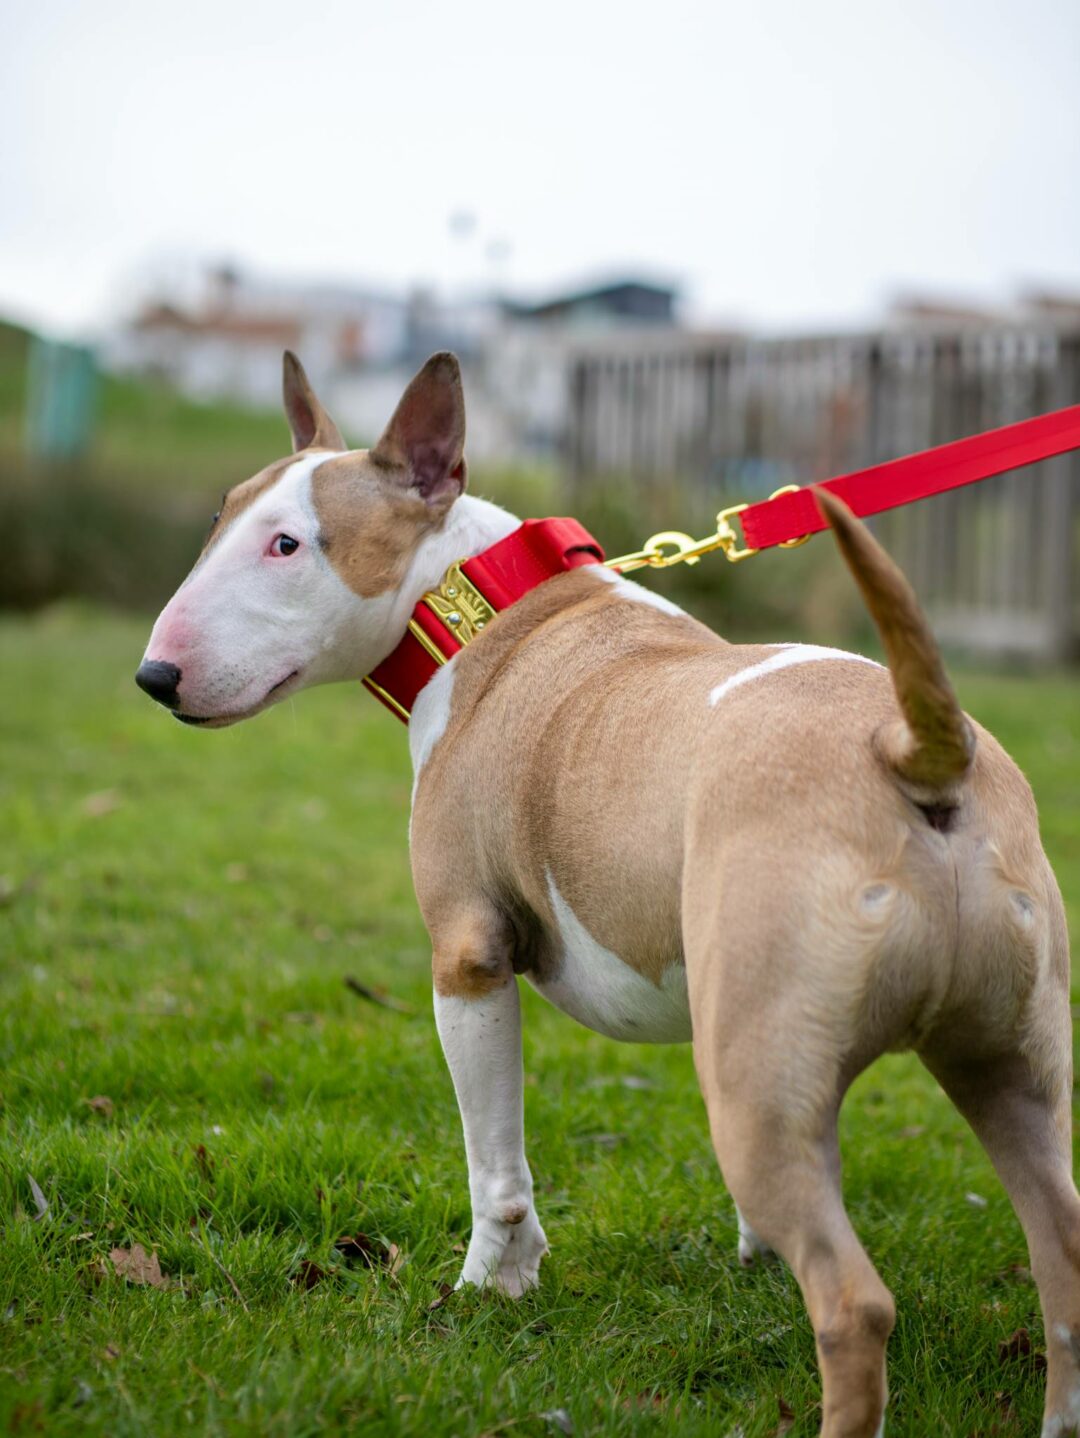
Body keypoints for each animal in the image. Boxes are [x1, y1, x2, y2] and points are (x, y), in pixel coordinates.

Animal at [139, 350, 1075, 1438]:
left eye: (288, 544)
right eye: (221, 516)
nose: (155, 676)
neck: (482, 611)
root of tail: (919, 750)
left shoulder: (469, 955)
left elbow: (495, 1162)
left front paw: (492, 1286)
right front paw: (752, 1251)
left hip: (779, 1068)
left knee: (855, 1303)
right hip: (995, 1062)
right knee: (1062, 1254)